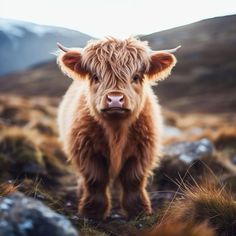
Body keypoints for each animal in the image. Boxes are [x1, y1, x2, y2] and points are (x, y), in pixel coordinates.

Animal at [56, 37, 180, 219]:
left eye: (136, 77)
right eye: (95, 76)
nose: (115, 99)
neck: (116, 131)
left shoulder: (141, 152)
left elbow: (133, 181)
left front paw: (139, 211)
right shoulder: (87, 151)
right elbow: (95, 180)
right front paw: (92, 212)